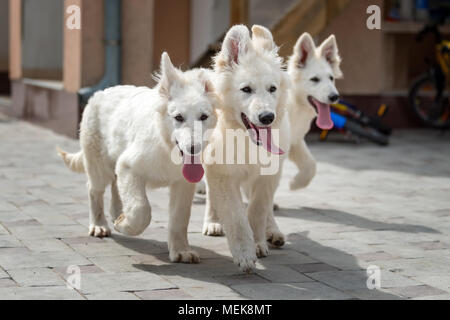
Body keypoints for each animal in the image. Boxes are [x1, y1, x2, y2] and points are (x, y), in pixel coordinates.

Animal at [57, 52, 219, 262]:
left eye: (203, 117)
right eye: (178, 118)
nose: (193, 149)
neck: (166, 147)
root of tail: (100, 93)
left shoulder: (182, 184)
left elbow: (179, 219)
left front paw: (181, 250)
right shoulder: (129, 166)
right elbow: (141, 210)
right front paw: (124, 225)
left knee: (115, 185)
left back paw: (117, 213)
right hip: (99, 166)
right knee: (95, 191)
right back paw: (99, 224)